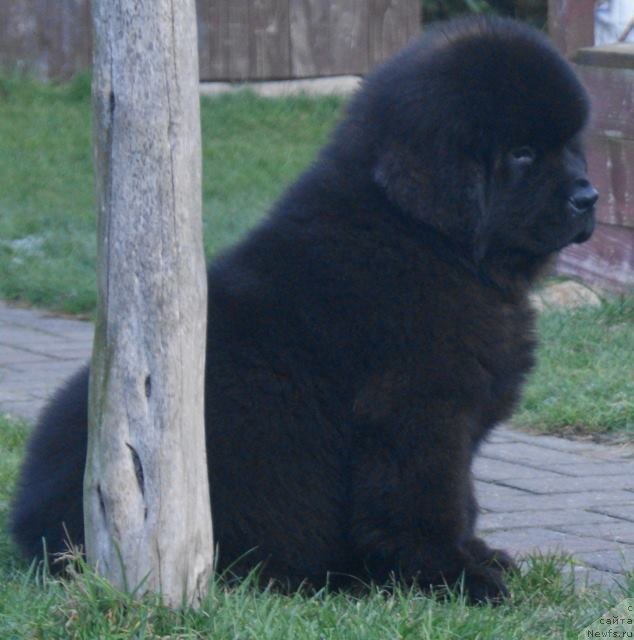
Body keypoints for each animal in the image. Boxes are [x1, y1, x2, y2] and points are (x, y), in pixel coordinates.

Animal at [11, 16, 592, 604]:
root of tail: (28, 523)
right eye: (521, 152)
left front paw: (479, 556)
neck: (424, 239)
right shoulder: (416, 409)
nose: (588, 198)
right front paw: (453, 577)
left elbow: (463, 498)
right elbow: (428, 502)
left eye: (572, 147)